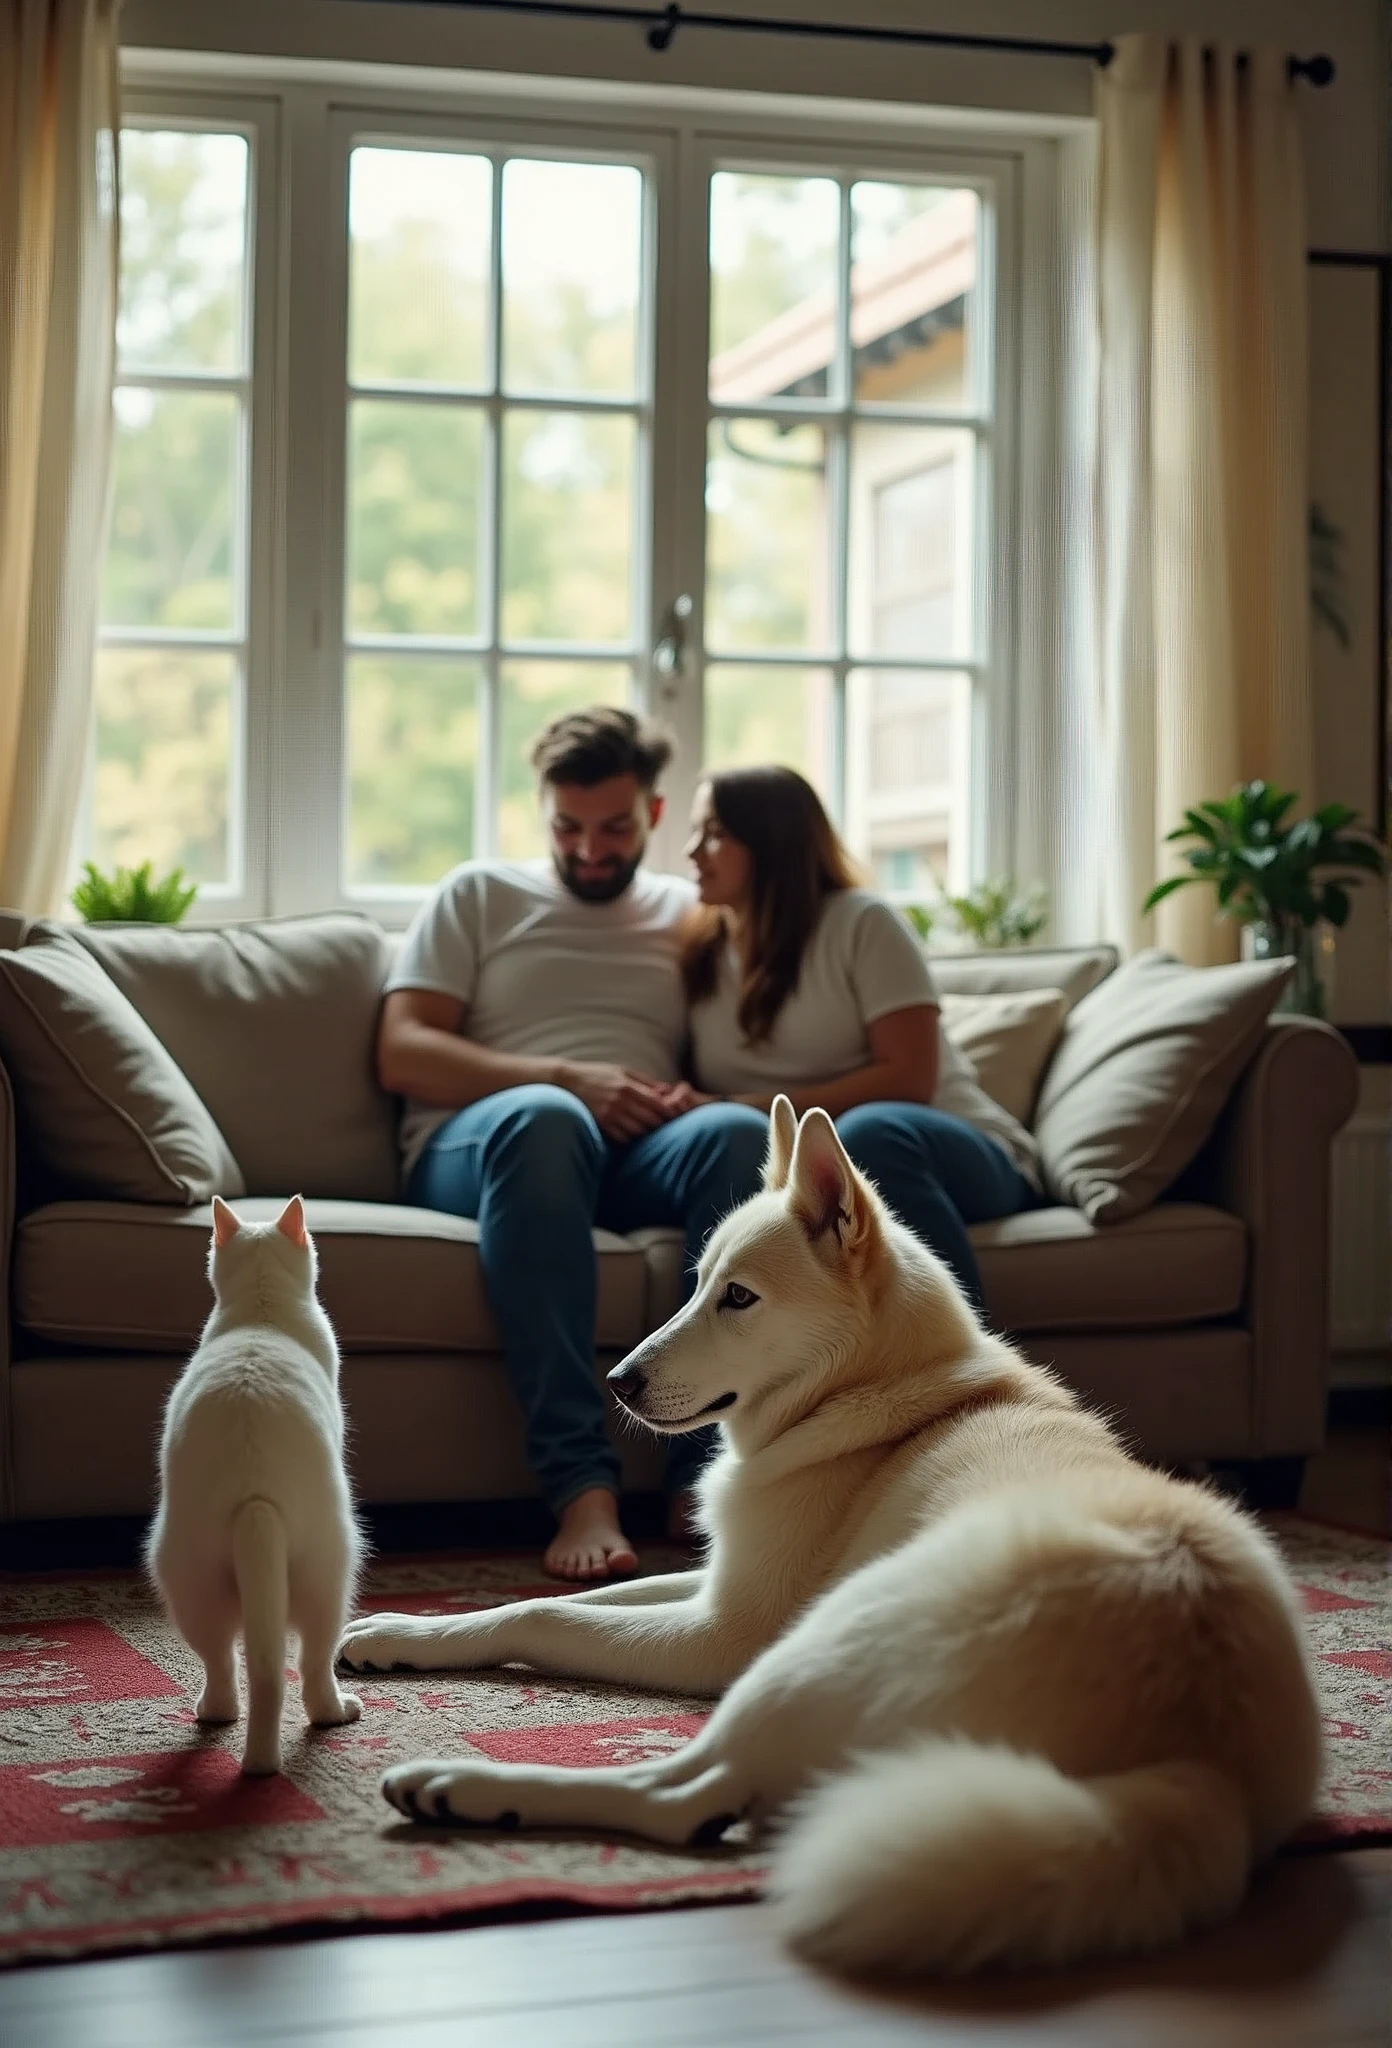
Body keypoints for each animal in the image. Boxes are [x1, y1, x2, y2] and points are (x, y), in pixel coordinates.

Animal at [148, 1196, 364, 1777]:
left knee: (221, 1657)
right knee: (311, 1664)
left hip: (187, 1580)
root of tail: (255, 1499)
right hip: (333, 1575)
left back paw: (217, 1714)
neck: (262, 1312)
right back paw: (336, 1712)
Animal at [341, 1097, 1318, 1974]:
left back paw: (462, 1788)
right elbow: (550, 1594)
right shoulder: (716, 1580)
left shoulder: (724, 1630)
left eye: (739, 1298)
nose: (617, 1380)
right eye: (697, 1283)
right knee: (704, 1795)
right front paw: (398, 1632)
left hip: (811, 1647)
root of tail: (1202, 1755)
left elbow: (543, 1617)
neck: (871, 1393)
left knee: (679, 1790)